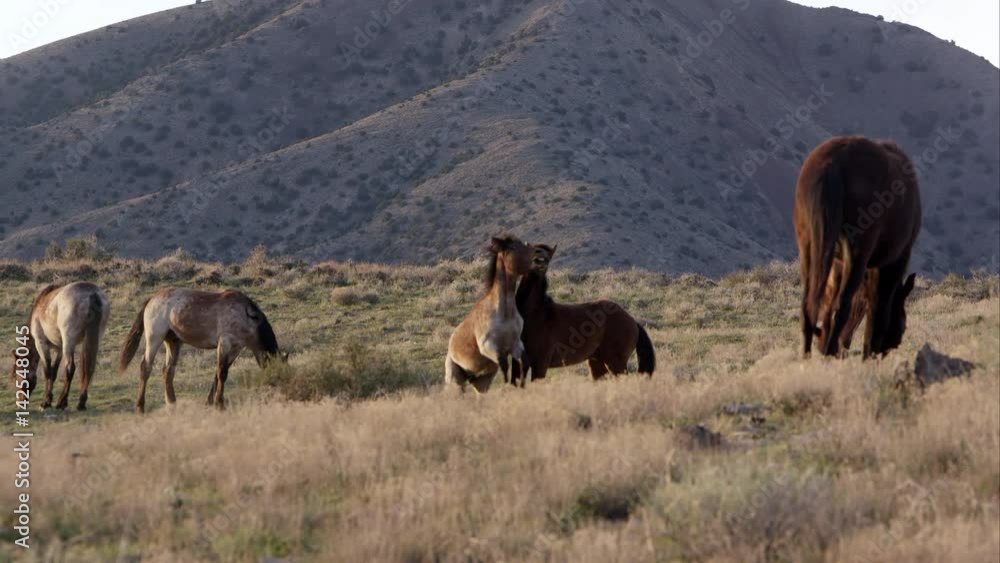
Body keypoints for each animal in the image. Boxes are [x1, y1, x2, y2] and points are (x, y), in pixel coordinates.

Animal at [118, 288, 286, 413]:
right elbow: (222, 373)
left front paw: (210, 402)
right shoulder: (225, 343)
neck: (247, 317)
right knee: (146, 368)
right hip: (155, 338)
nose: (281, 398)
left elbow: (218, 374)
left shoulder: (235, 349)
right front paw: (219, 403)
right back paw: (140, 407)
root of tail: (151, 300)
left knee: (168, 371)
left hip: (173, 342)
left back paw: (172, 404)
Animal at [445, 235, 539, 393]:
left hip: (482, 381)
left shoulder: (515, 344)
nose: (538, 256)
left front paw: (521, 386)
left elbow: (525, 363)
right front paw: (508, 386)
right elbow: (504, 366)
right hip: (455, 381)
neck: (505, 313)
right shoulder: (489, 347)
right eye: (513, 247)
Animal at [511, 244, 655, 383]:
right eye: (532, 252)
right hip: (597, 363)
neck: (534, 313)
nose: (540, 263)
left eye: (548, 257)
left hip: (616, 364)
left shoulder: (540, 364)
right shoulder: (519, 363)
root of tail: (633, 321)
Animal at [795, 136, 921, 358]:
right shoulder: (890, 264)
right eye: (903, 322)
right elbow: (877, 310)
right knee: (842, 305)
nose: (892, 345)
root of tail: (832, 164)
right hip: (857, 254)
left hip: (808, 249)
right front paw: (869, 354)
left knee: (810, 306)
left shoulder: (838, 264)